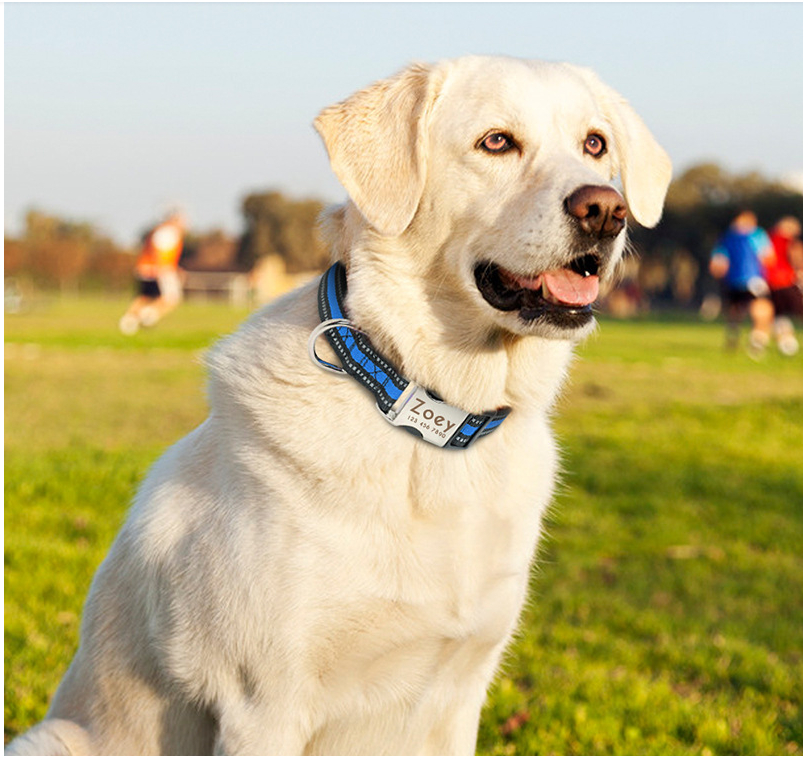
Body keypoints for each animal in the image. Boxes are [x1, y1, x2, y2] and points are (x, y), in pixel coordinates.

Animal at [7, 56, 672, 752]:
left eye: (595, 145)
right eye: (496, 142)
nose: (605, 210)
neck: (430, 415)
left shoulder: (460, 694)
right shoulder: (263, 706)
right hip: (55, 737)